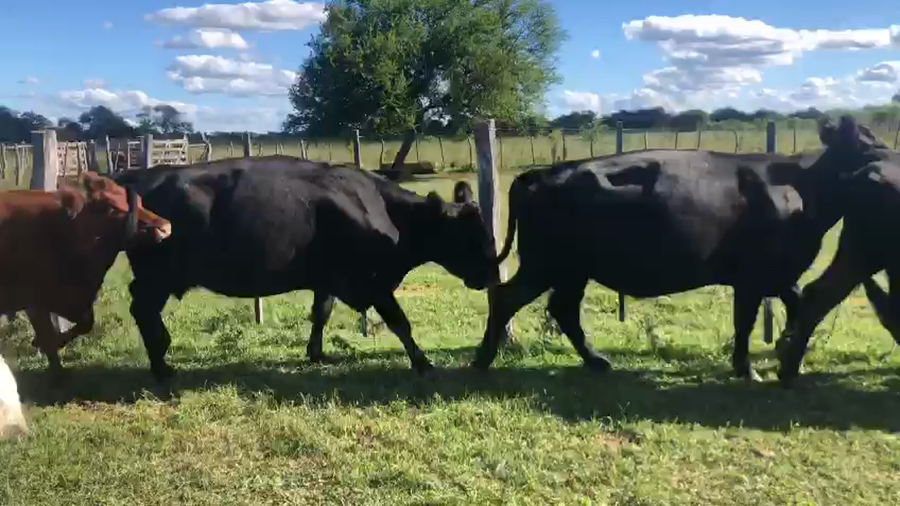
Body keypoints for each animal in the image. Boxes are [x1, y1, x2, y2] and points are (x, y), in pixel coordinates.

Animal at [0, 172, 173, 379]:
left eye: (139, 201)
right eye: (112, 208)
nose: (166, 227)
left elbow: (85, 323)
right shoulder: (34, 300)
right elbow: (49, 337)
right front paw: (56, 373)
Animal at [111, 156, 499, 384]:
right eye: (467, 237)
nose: (490, 276)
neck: (383, 212)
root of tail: (141, 176)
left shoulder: (327, 279)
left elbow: (320, 314)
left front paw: (316, 354)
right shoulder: (370, 282)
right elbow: (400, 322)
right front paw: (422, 363)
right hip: (157, 276)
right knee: (142, 308)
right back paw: (161, 365)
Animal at [471, 115, 882, 381]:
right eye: (864, 145)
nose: (883, 158)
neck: (801, 189)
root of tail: (540, 173)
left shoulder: (780, 273)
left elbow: (801, 304)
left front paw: (786, 349)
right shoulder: (751, 278)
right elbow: (745, 323)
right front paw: (747, 368)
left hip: (572, 270)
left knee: (562, 309)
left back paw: (596, 361)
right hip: (547, 264)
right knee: (507, 298)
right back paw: (482, 360)